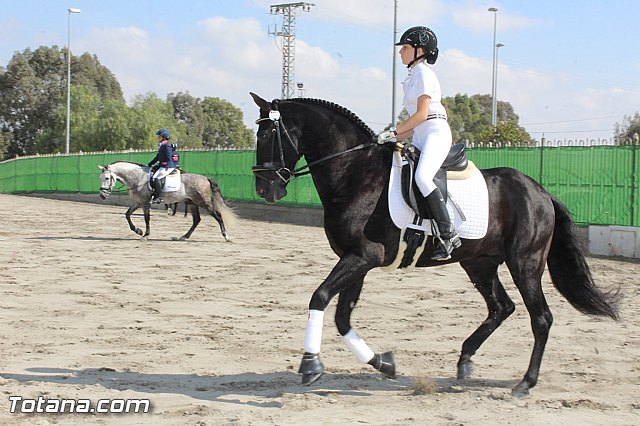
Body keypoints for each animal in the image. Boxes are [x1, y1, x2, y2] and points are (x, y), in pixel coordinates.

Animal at [98, 161, 237, 241]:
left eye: (107, 178)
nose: (102, 195)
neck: (138, 178)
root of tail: (206, 178)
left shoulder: (145, 203)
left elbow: (146, 218)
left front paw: (145, 235)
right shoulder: (137, 202)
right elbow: (127, 215)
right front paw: (138, 230)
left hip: (204, 203)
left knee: (218, 215)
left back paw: (226, 236)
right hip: (192, 203)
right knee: (196, 220)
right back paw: (184, 237)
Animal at [249, 93, 620, 397]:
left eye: (266, 135)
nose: (266, 190)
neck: (355, 172)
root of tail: (541, 192)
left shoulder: (362, 256)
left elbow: (320, 297)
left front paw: (310, 365)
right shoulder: (357, 260)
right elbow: (342, 317)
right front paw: (384, 363)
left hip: (524, 264)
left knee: (540, 318)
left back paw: (525, 383)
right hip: (479, 263)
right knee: (501, 308)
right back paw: (466, 359)